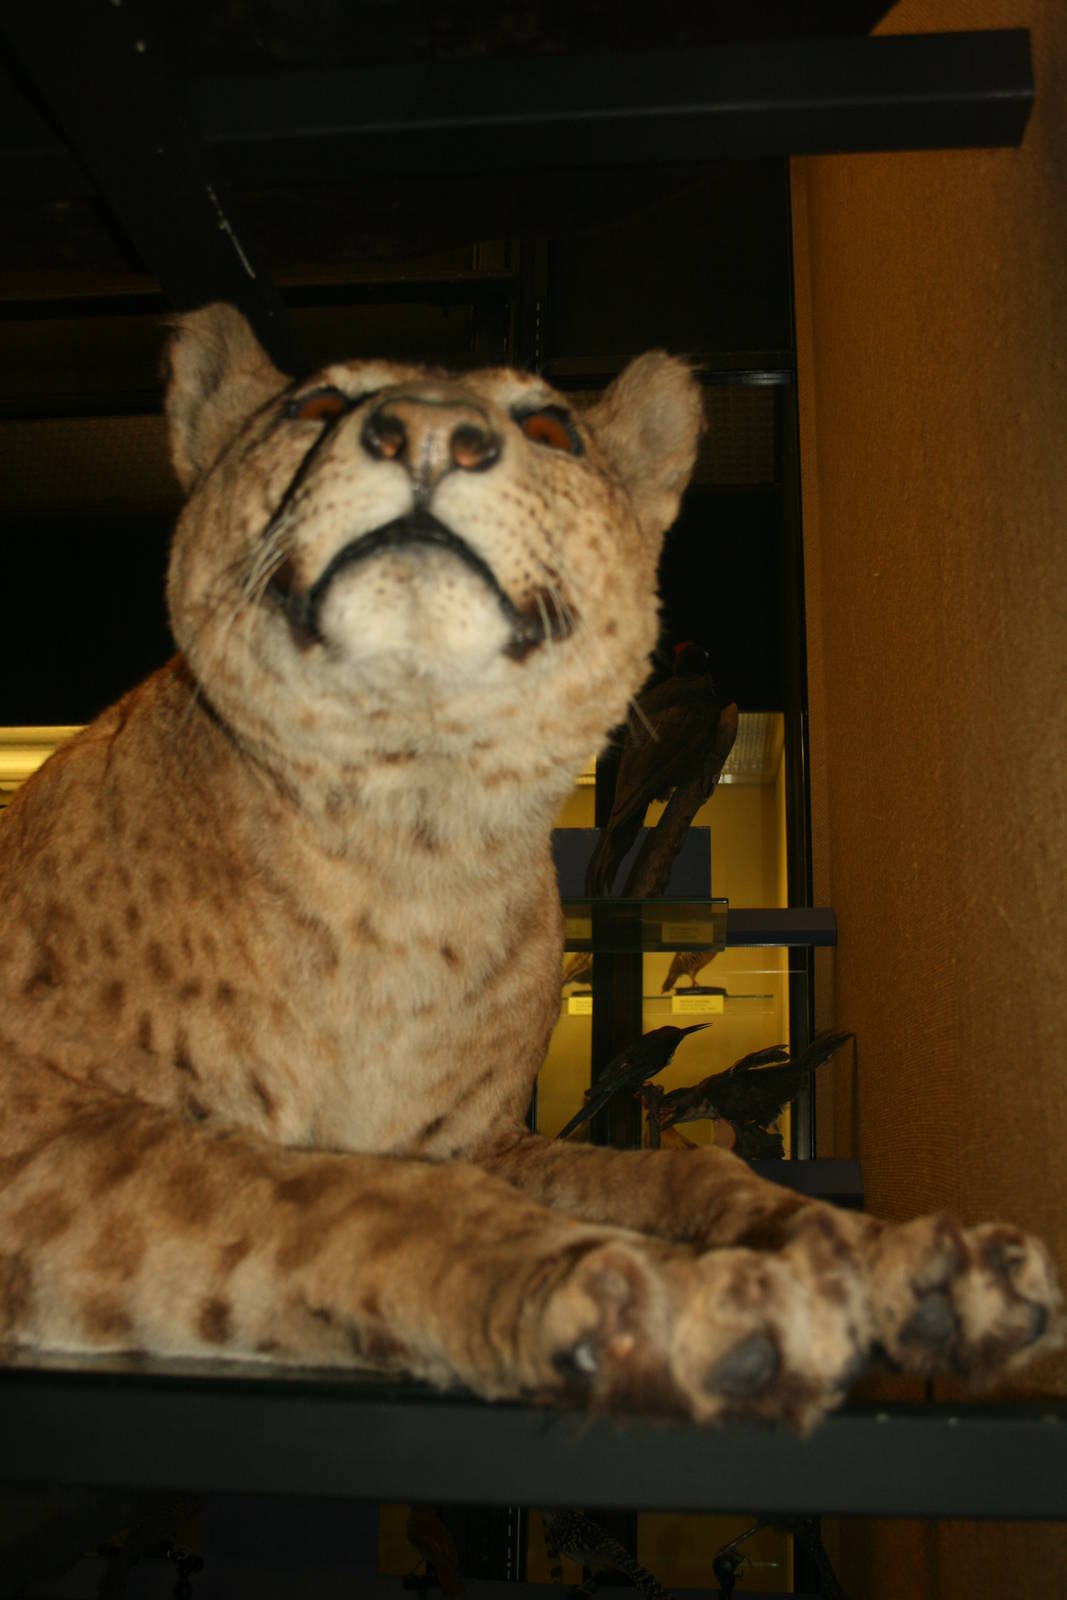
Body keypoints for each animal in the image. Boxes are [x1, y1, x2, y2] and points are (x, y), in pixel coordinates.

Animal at [0, 303, 1060, 1428]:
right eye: (317, 404)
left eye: (551, 427)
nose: (429, 431)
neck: (407, 841)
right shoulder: (40, 1126)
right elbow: (349, 1191)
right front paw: (694, 1299)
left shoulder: (494, 1140)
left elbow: (678, 1179)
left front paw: (900, 1262)